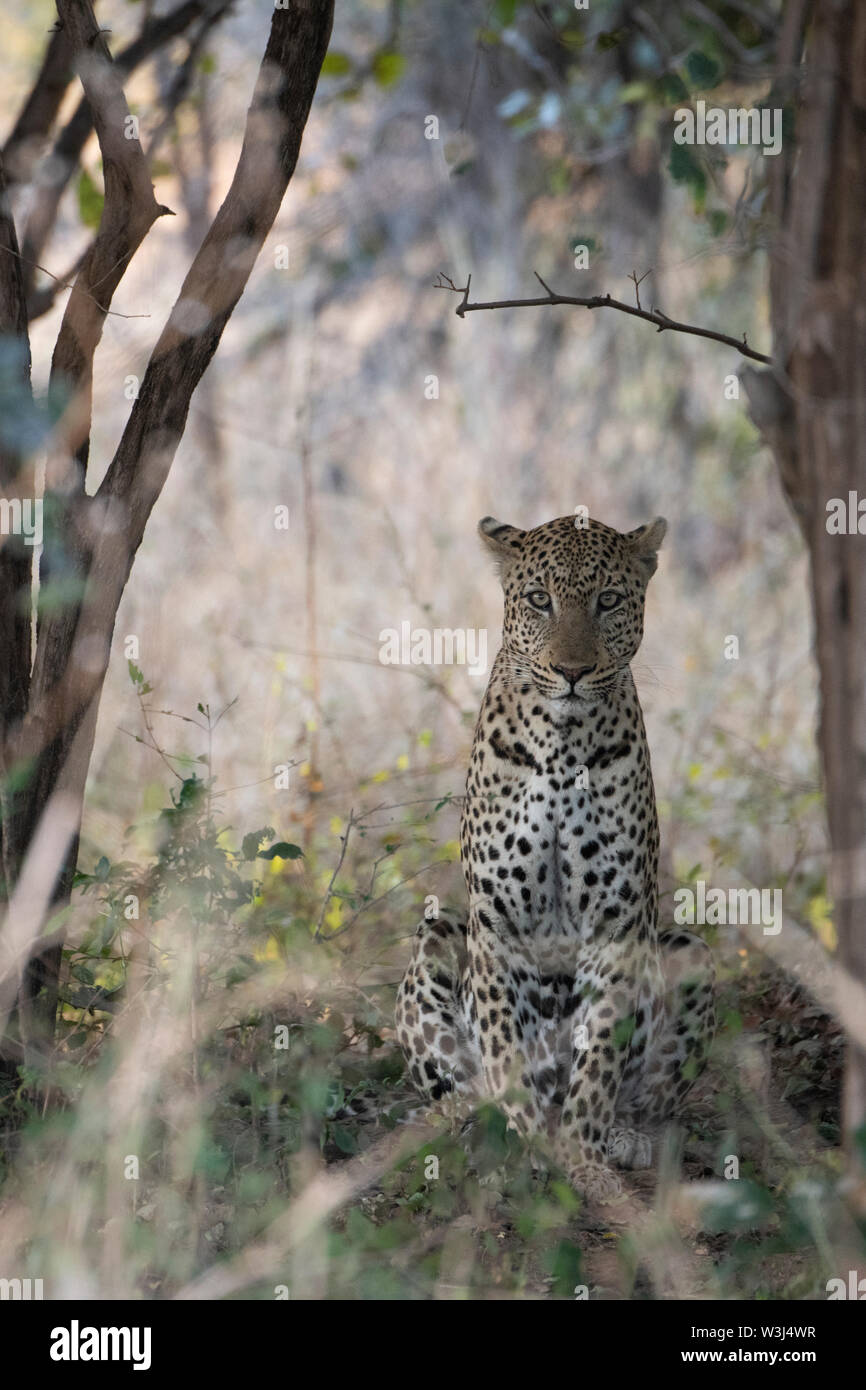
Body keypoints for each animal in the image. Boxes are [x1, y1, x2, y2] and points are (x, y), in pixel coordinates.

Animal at [395, 512, 714, 1202]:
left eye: (609, 601)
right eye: (540, 600)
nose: (572, 670)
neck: (564, 747)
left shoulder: (617, 925)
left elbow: (598, 1063)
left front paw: (583, 1158)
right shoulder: (497, 926)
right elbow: (505, 1052)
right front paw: (526, 1148)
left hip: (689, 951)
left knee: (647, 1093)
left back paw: (627, 1137)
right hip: (437, 939)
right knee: (458, 1086)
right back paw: (473, 1137)